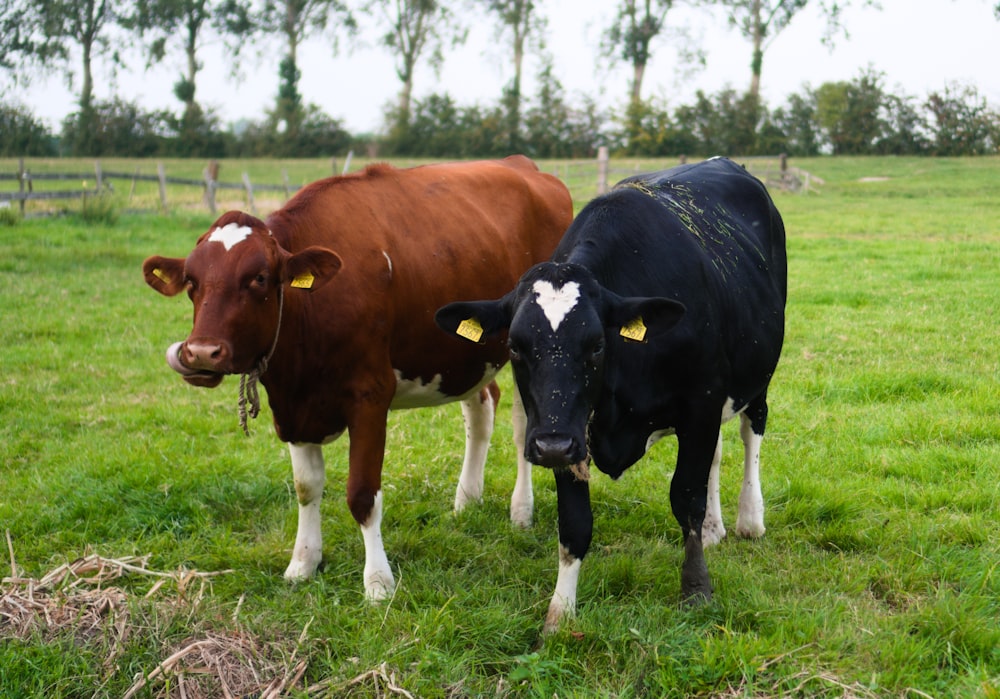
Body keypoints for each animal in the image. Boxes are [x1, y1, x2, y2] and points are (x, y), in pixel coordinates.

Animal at [145, 156, 576, 600]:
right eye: (192, 282)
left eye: (259, 278)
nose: (201, 352)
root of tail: (523, 165)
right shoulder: (292, 408)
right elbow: (306, 488)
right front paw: (303, 563)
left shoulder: (370, 398)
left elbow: (363, 494)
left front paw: (378, 583)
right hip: (468, 355)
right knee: (481, 409)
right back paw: (466, 499)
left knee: (521, 427)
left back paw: (520, 511)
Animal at [438, 159, 788, 636]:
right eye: (515, 347)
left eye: (596, 344)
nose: (550, 444)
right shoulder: (567, 430)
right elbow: (574, 524)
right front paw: (560, 613)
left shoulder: (700, 403)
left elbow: (687, 498)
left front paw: (696, 590)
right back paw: (716, 529)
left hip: (757, 376)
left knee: (753, 432)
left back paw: (749, 518)